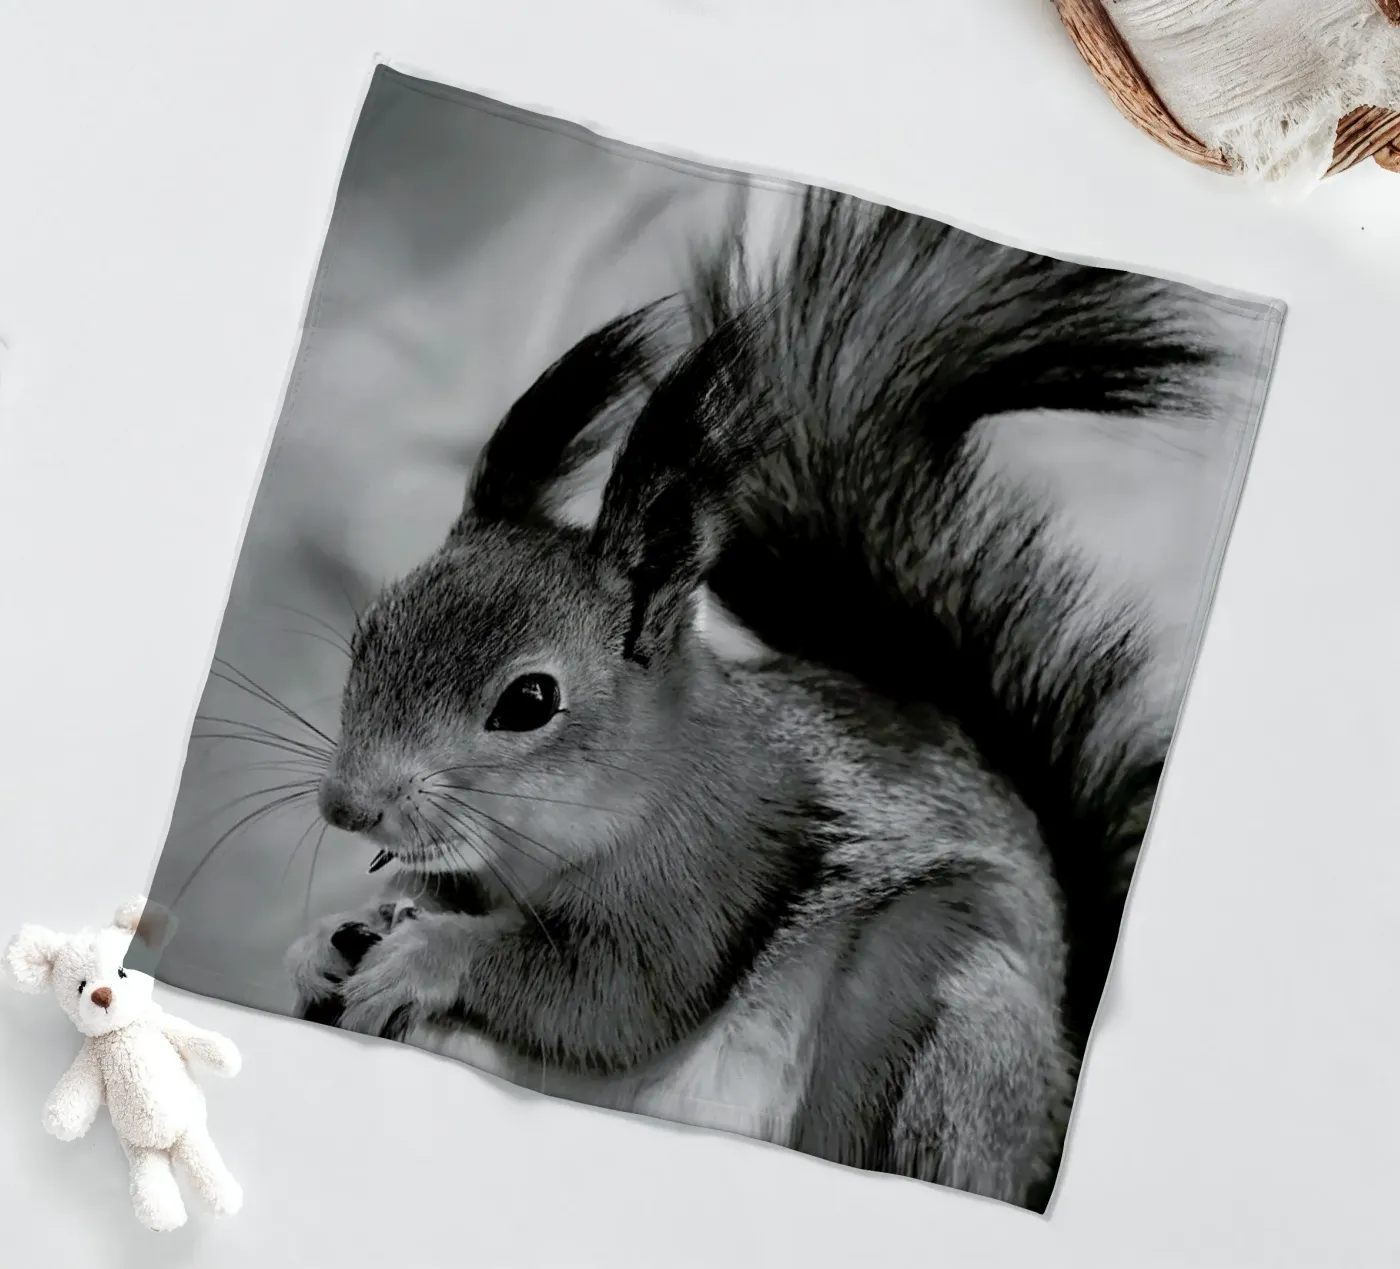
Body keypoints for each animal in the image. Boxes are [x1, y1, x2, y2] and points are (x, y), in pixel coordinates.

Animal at [284, 188, 1218, 1209]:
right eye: (372, 631)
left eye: (529, 700)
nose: (348, 804)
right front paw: (325, 939)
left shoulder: (713, 865)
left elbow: (611, 996)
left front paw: (428, 957)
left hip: (940, 1014)